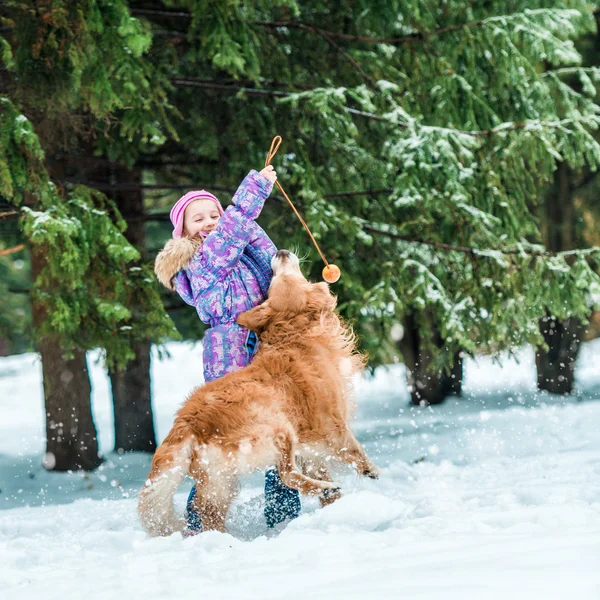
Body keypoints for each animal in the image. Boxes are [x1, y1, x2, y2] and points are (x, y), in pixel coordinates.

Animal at [138, 248, 378, 536]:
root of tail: (186, 424)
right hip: (279, 427)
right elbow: (353, 449)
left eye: (273, 282)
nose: (281, 252)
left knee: (207, 512)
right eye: (280, 278)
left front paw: (335, 507)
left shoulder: (311, 449)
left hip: (220, 480)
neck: (295, 330)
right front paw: (370, 471)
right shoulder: (333, 425)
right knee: (286, 475)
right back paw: (324, 488)